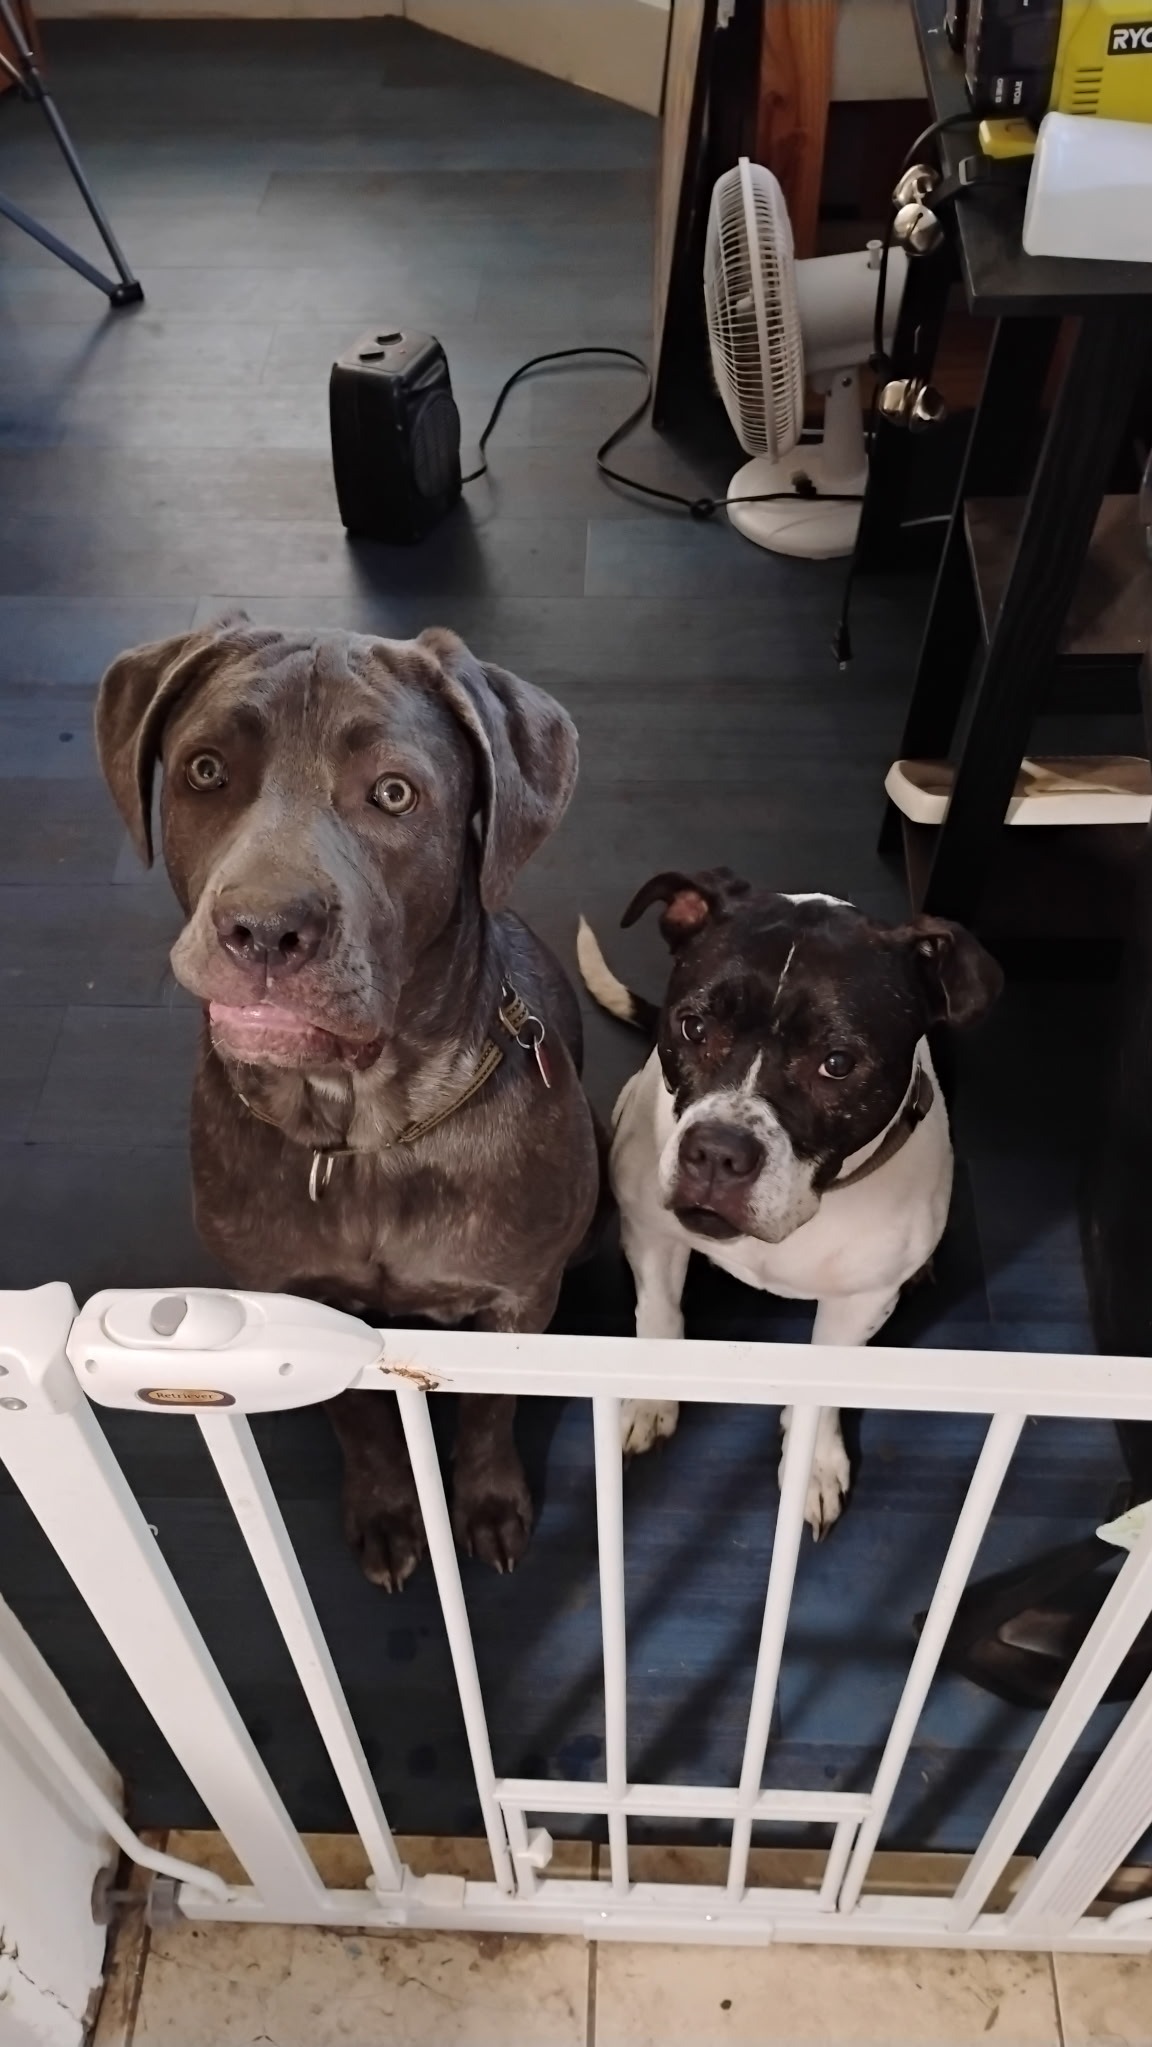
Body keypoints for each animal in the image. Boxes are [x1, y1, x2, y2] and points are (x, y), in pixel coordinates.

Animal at [96, 616, 601, 1589]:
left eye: (395, 793)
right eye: (205, 770)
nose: (263, 927)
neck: (367, 1132)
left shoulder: (519, 1296)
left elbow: (491, 1406)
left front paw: (486, 1504)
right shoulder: (290, 1306)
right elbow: (360, 1417)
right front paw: (388, 1512)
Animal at [578, 868, 1002, 1537]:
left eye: (838, 1063)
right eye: (693, 1027)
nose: (717, 1153)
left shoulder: (860, 1302)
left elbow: (820, 1388)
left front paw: (815, 1464)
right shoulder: (654, 1235)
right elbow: (659, 1316)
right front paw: (650, 1398)